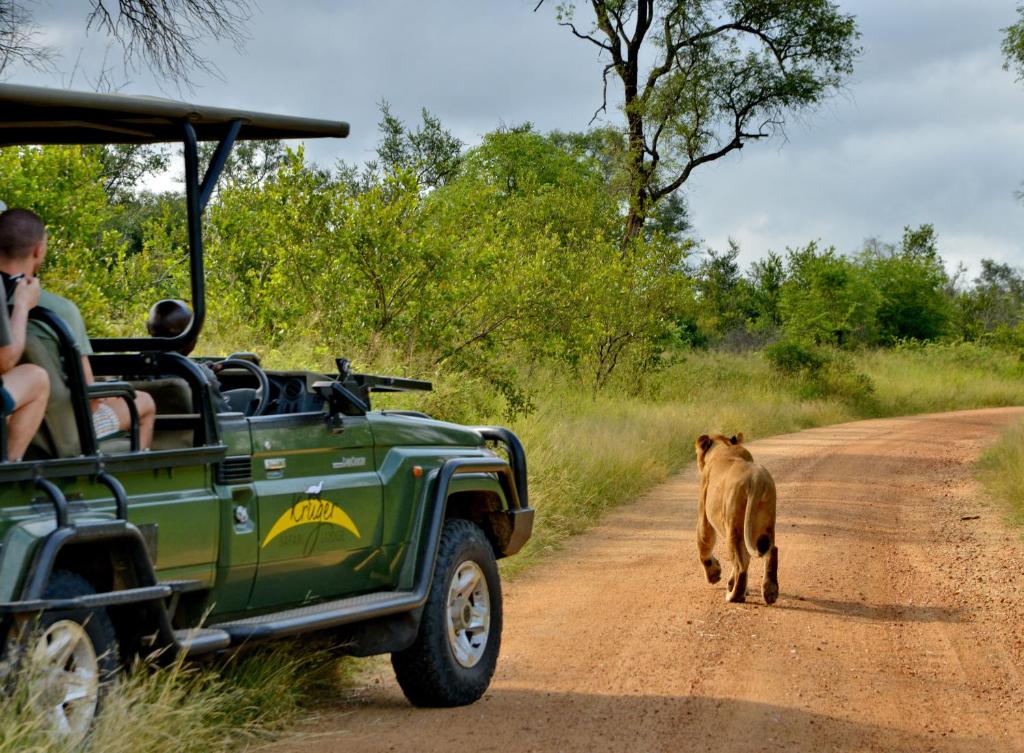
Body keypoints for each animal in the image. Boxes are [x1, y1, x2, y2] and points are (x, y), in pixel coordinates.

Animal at [694, 433, 779, 604]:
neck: (724, 446)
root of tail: (756, 480)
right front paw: (730, 582)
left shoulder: (703, 511)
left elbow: (704, 543)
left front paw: (714, 575)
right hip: (764, 524)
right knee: (770, 551)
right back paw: (770, 592)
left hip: (734, 526)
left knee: (741, 565)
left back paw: (734, 596)